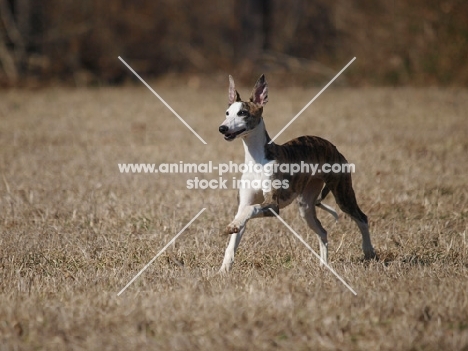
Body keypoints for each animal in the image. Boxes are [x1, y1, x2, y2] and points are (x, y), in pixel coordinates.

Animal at [219, 74, 376, 272]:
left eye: (242, 113)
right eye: (227, 113)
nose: (222, 128)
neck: (257, 159)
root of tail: (331, 145)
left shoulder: (273, 205)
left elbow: (252, 208)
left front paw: (233, 225)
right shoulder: (244, 203)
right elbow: (235, 236)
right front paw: (224, 269)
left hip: (343, 194)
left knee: (362, 218)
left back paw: (369, 252)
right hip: (305, 207)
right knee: (323, 232)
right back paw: (324, 266)